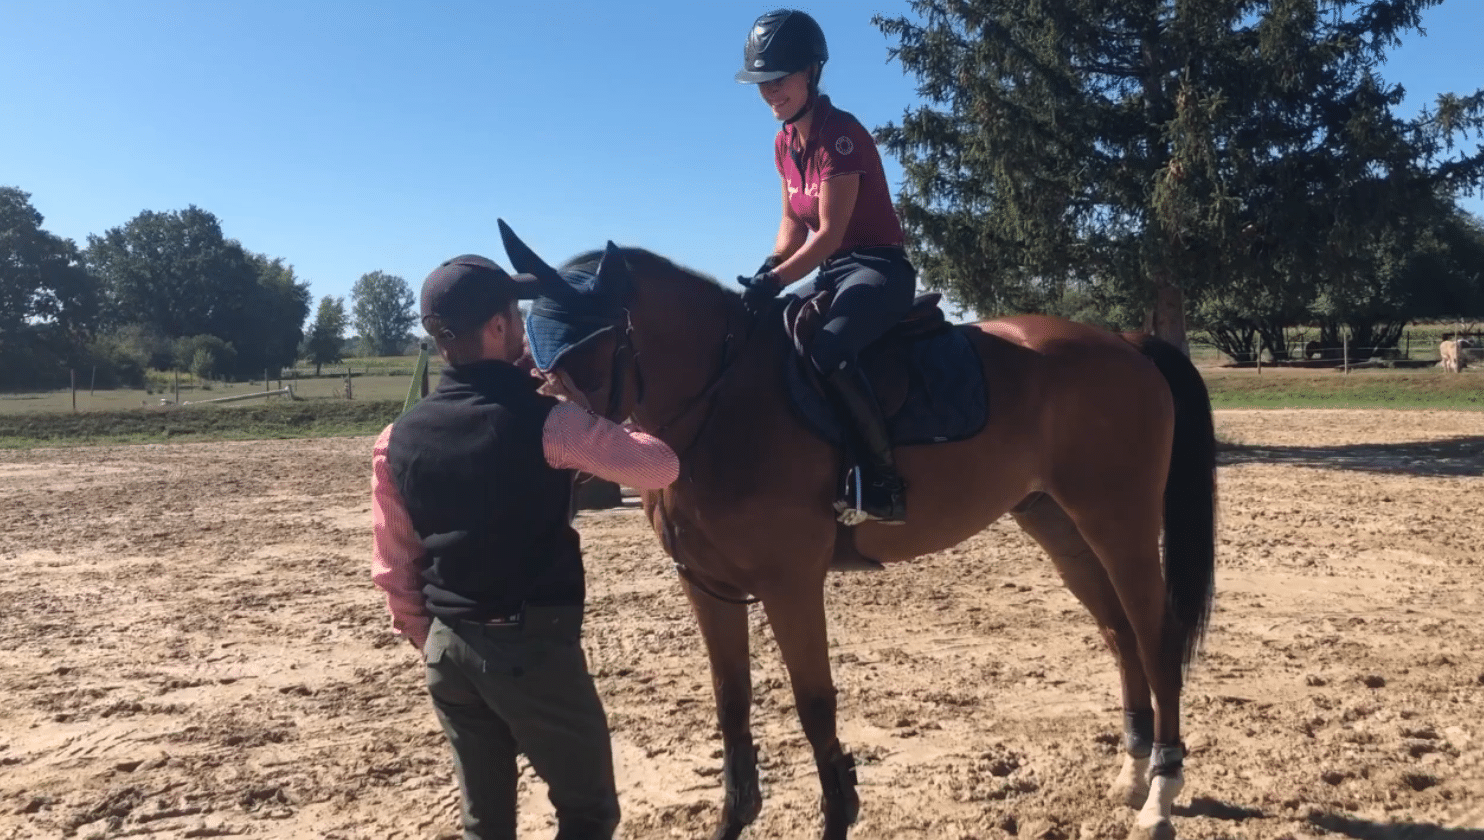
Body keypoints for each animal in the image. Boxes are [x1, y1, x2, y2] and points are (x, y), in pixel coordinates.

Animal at [498, 224, 1216, 840]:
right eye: (532, 342)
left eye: (592, 346)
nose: (544, 439)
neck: (722, 402)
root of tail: (1123, 342)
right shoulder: (707, 587)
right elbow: (731, 705)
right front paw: (734, 818)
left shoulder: (790, 585)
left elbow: (815, 705)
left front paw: (838, 814)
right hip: (1059, 524)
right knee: (1120, 634)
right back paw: (1132, 773)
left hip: (1118, 523)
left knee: (1156, 639)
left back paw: (1159, 796)